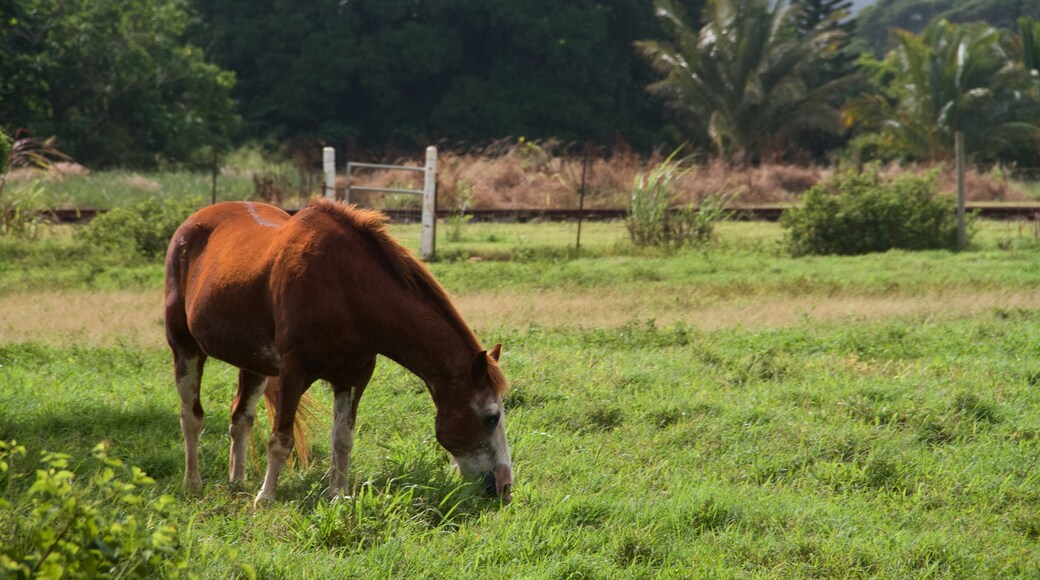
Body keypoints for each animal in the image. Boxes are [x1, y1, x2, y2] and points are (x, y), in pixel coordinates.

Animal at [163, 201, 515, 509]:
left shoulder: (354, 375)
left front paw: (339, 494)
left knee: (240, 418)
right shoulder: (293, 371)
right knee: (191, 416)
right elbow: (281, 439)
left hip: (253, 362)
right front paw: (266, 499)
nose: (505, 487)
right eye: (491, 417)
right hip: (185, 348)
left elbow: (342, 438)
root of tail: (191, 222)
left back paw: (237, 482)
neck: (346, 288)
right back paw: (192, 483)